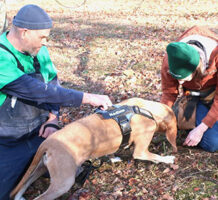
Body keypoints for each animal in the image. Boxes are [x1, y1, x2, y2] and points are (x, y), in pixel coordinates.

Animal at [10, 98, 177, 200]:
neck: (145, 109)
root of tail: (48, 142)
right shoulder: (141, 151)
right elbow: (153, 155)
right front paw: (167, 159)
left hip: (40, 169)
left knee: (23, 185)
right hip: (63, 182)